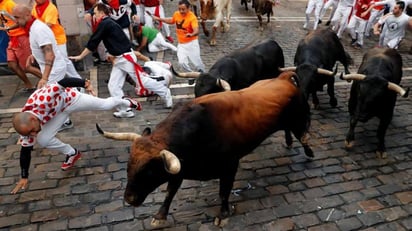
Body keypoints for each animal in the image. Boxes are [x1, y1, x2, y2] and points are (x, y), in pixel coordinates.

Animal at [96, 72, 314, 227]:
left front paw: (223, 215)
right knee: (288, 130)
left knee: (303, 136)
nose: (129, 199)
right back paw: (288, 142)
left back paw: (309, 153)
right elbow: (170, 192)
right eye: (128, 167)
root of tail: (282, 78)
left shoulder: (229, 166)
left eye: (149, 171)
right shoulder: (178, 167)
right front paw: (160, 215)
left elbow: (224, 192)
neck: (200, 129)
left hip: (298, 119)